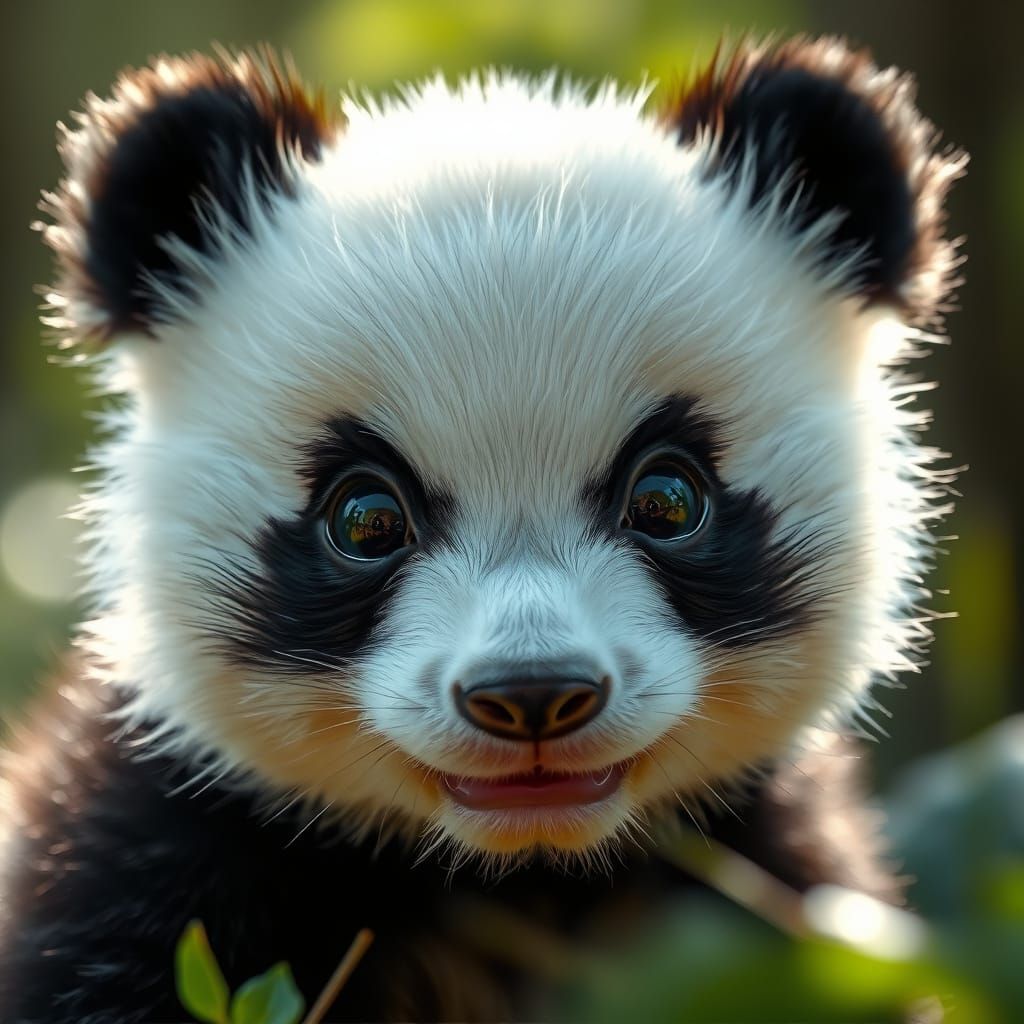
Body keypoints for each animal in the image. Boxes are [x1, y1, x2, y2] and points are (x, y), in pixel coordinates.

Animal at [0, 35, 963, 1023]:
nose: (533, 694)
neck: (510, 877)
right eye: (367, 519)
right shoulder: (142, 859)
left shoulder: (776, 895)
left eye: (667, 499)